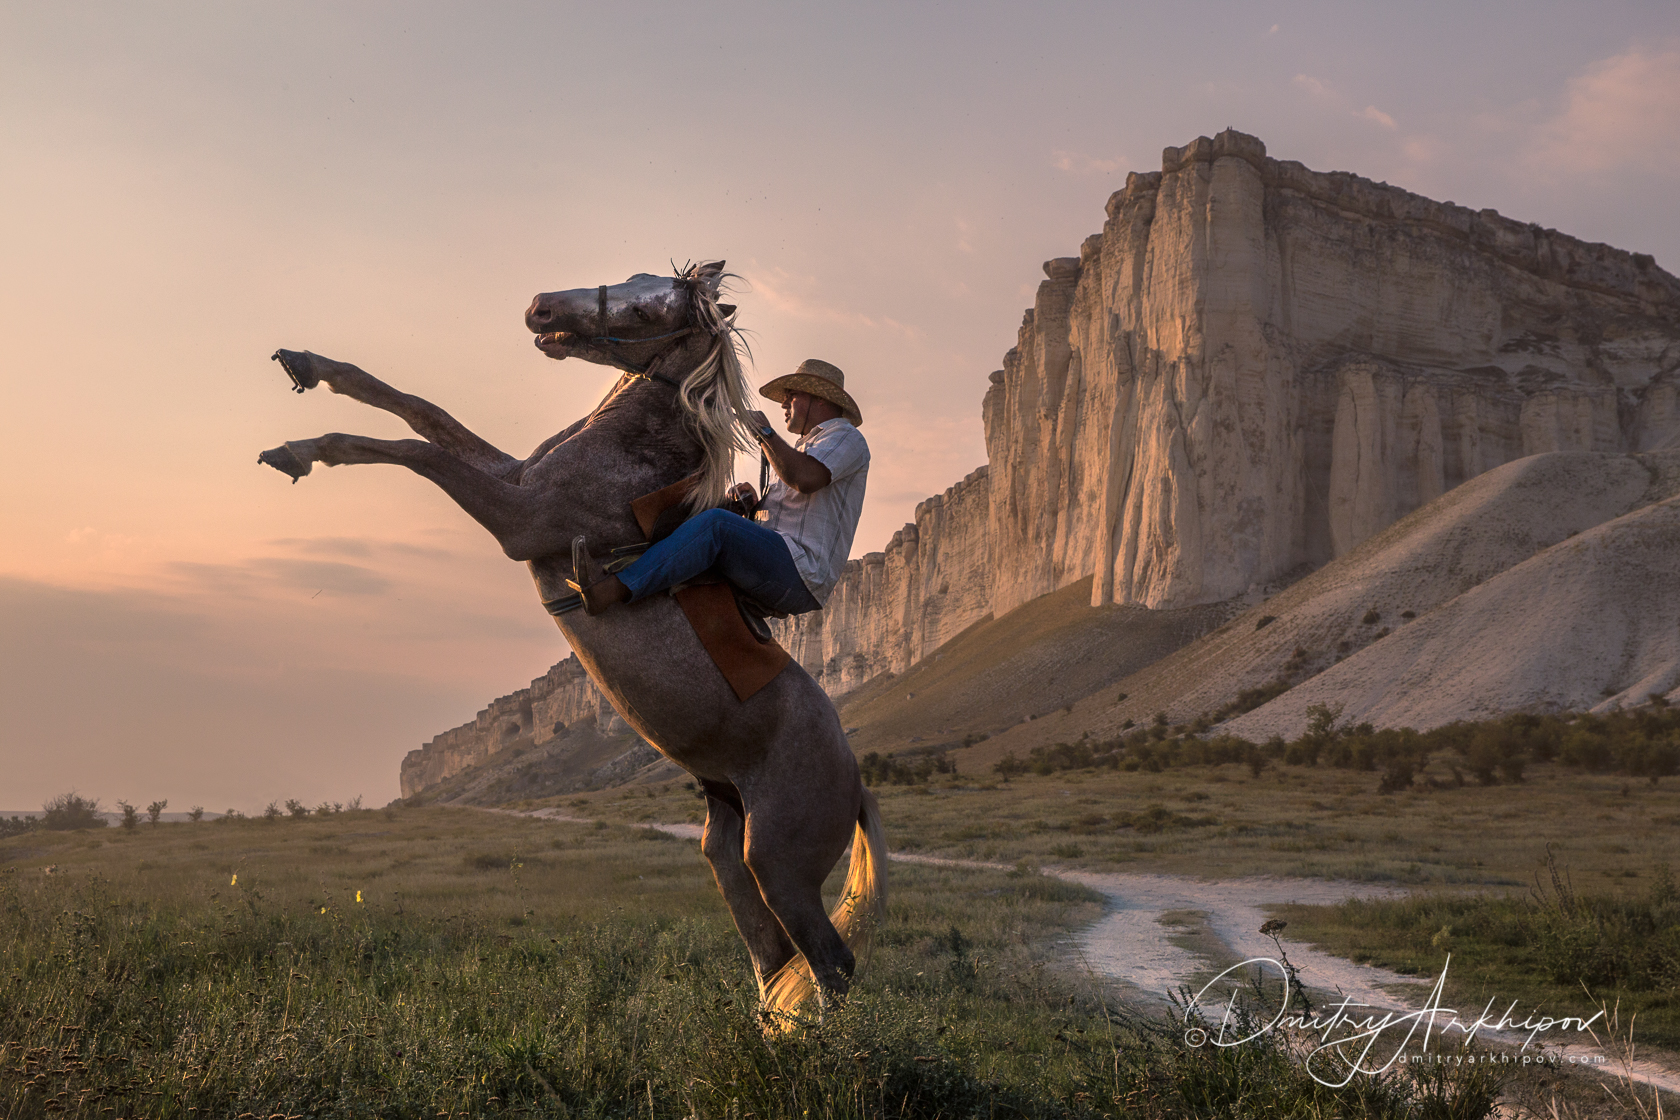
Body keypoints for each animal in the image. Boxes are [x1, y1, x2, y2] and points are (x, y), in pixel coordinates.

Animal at [255, 258, 887, 1020]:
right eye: (635, 276)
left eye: (652, 308)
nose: (541, 308)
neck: (629, 457)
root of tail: (854, 781)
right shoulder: (513, 476)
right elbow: (418, 410)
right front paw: (307, 380)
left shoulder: (519, 514)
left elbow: (414, 444)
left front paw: (300, 450)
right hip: (732, 855)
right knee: (776, 960)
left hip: (781, 867)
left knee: (834, 965)